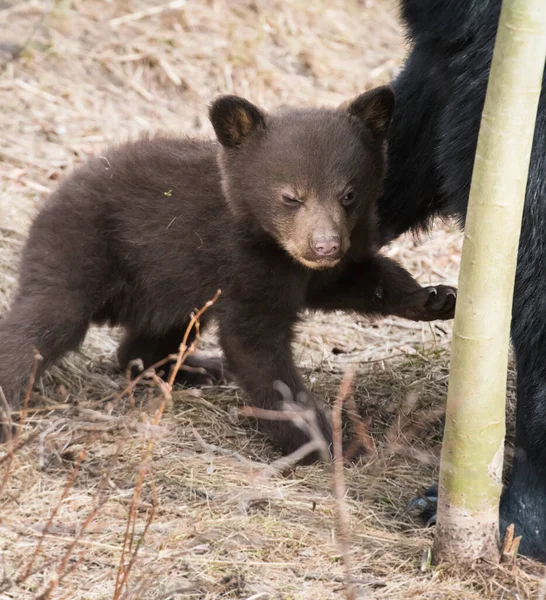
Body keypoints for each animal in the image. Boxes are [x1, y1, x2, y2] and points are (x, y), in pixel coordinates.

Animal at [0, 86, 454, 458]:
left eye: (348, 194)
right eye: (291, 196)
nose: (325, 246)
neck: (269, 242)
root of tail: (53, 194)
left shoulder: (320, 267)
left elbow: (356, 280)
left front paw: (434, 297)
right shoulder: (244, 266)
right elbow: (257, 346)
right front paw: (324, 439)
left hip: (173, 288)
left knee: (149, 341)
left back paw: (194, 368)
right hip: (80, 250)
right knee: (42, 322)